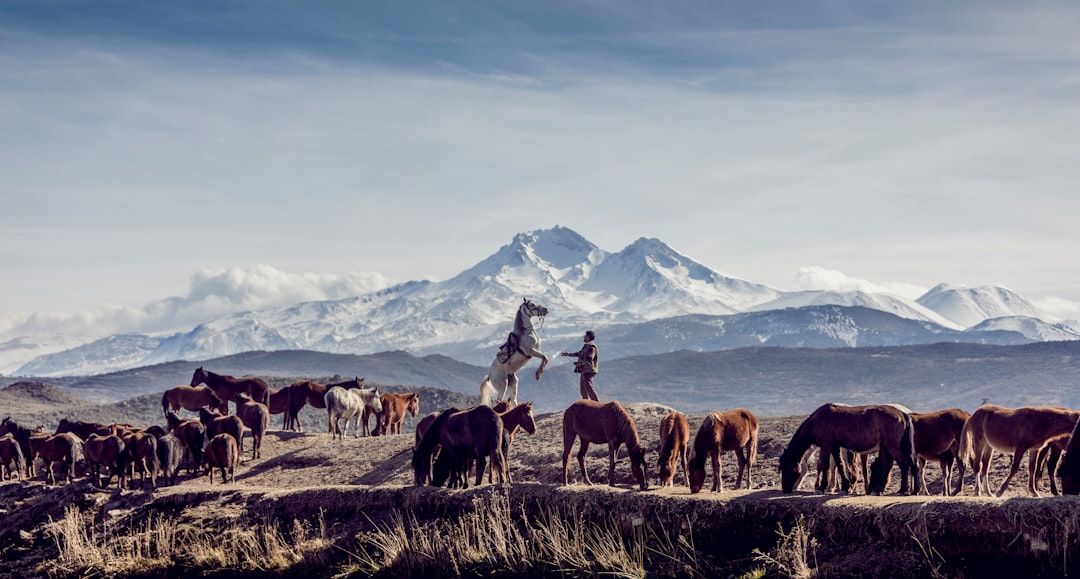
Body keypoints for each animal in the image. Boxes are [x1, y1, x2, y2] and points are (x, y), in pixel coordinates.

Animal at [781, 401, 915, 492]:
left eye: (786, 467)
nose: (785, 489)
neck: (818, 420)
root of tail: (902, 413)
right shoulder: (835, 446)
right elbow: (839, 465)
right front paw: (845, 486)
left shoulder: (826, 445)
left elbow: (825, 465)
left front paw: (822, 487)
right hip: (887, 447)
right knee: (889, 465)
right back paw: (879, 489)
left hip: (893, 447)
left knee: (903, 464)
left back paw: (902, 490)